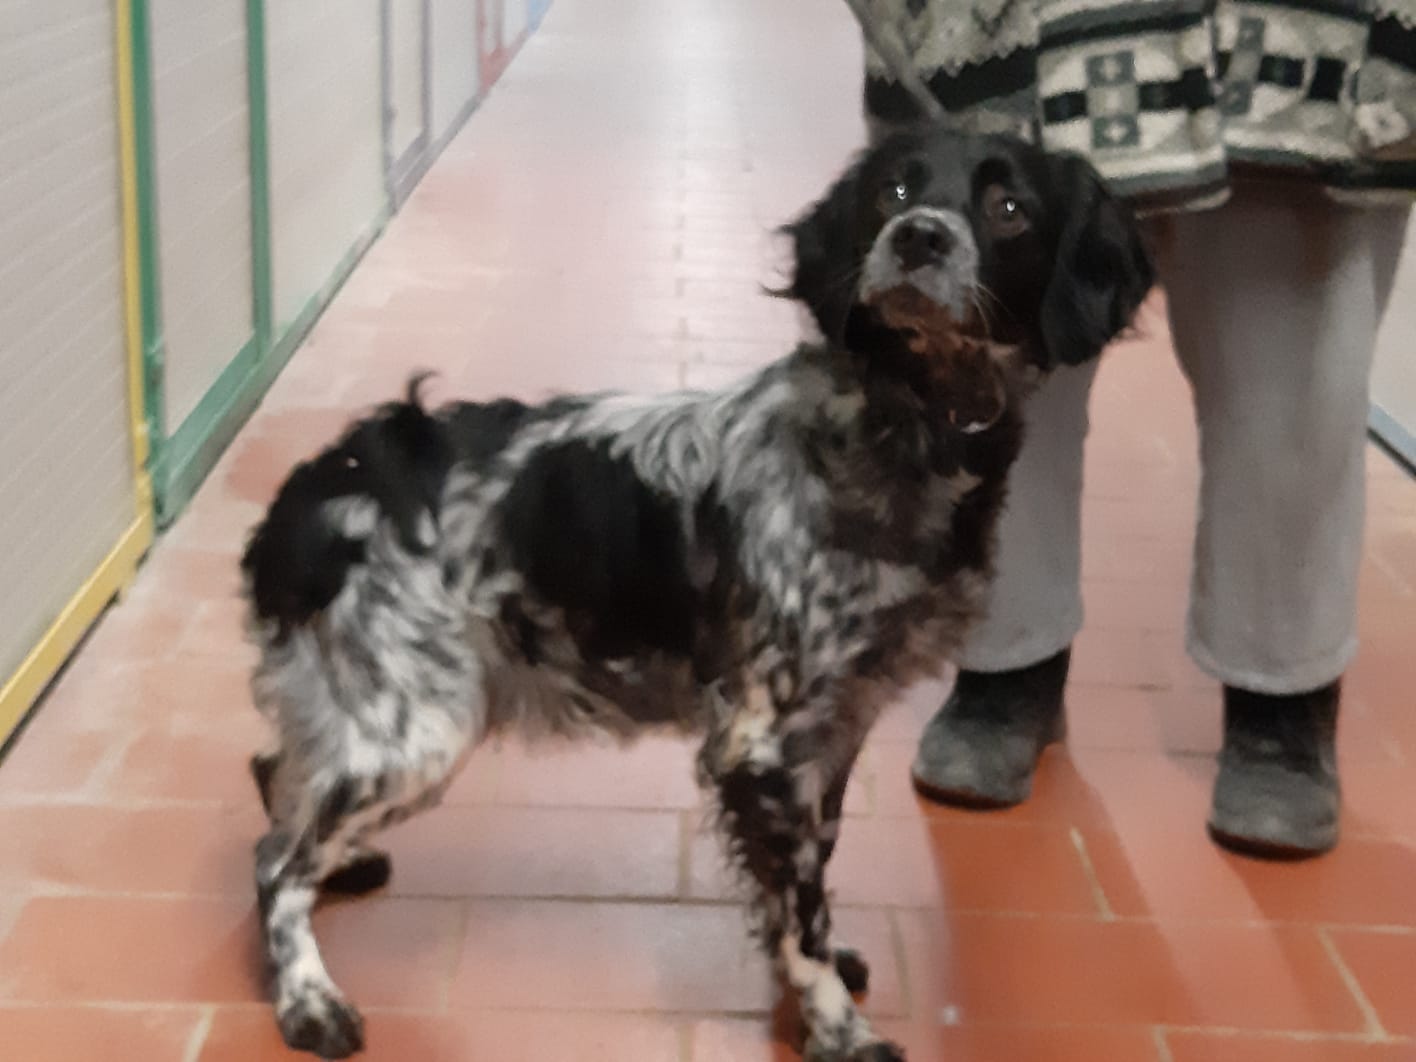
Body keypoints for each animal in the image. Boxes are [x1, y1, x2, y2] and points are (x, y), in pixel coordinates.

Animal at [240, 125, 1154, 1061]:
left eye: (1008, 209)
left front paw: (815, 980)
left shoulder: (834, 729)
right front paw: (838, 1028)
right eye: (893, 194)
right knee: (276, 861)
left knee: (278, 777)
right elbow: (801, 914)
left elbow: (810, 879)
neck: (898, 429)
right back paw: (308, 997)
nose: (919, 239)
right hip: (419, 726)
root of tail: (330, 478)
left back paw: (341, 870)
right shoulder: (764, 744)